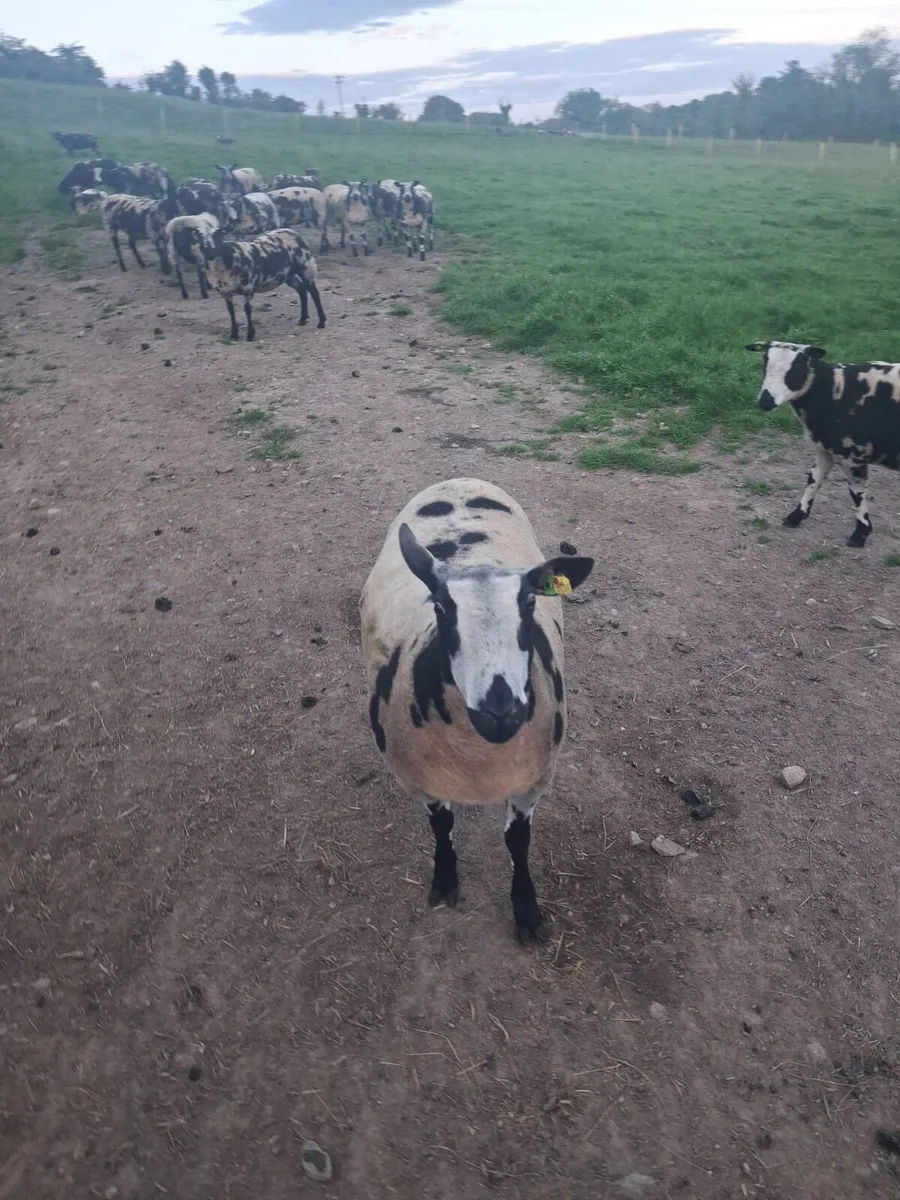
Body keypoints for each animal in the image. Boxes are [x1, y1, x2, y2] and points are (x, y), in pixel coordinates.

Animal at [360, 478, 594, 942]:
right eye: (440, 607)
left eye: (529, 603)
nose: (500, 710)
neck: (479, 760)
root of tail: (460, 479)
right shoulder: (422, 782)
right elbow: (441, 828)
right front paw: (445, 879)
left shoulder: (532, 782)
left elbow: (518, 841)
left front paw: (526, 910)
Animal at [747, 340, 900, 547]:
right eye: (765, 362)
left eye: (796, 367)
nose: (765, 401)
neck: (832, 391)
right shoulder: (823, 450)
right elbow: (813, 480)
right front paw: (796, 516)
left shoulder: (854, 456)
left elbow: (857, 494)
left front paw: (860, 533)